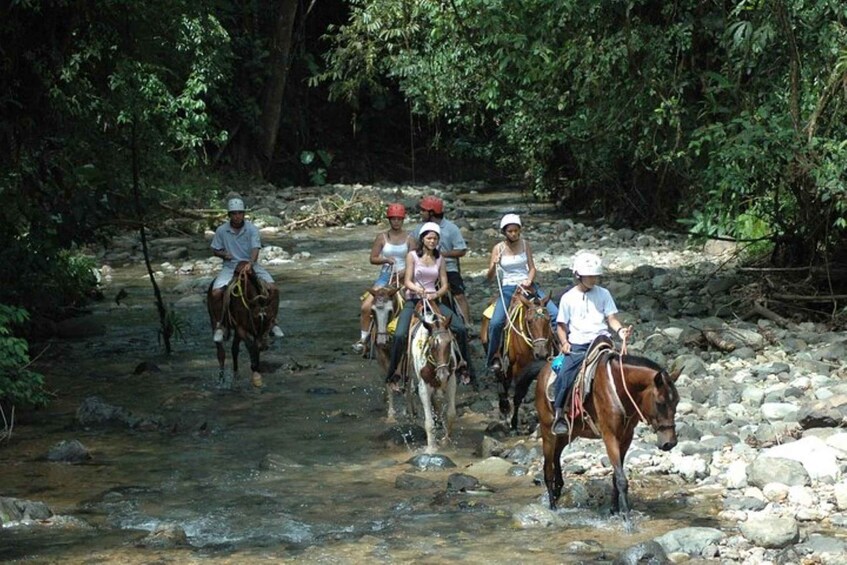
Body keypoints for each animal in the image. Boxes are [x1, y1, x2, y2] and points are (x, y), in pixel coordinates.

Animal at [528, 350, 684, 524]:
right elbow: (622, 479)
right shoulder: (610, 436)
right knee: (548, 468)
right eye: (660, 403)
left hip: (571, 431)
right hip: (547, 431)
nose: (670, 443)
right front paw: (627, 519)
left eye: (677, 402)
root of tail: (544, 369)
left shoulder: (626, 437)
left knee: (557, 454)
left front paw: (614, 511)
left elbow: (616, 477)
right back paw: (553, 506)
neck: (619, 388)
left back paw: (558, 489)